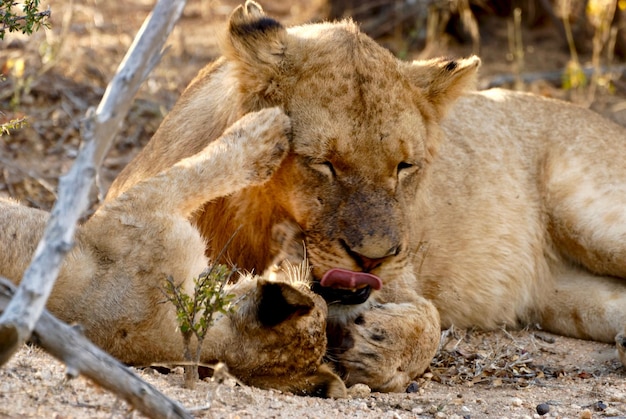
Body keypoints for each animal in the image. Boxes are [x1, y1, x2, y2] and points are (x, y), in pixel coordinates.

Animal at [0, 107, 346, 398]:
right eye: (317, 302)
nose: (318, 288)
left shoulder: (135, 209)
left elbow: (199, 172)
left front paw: (266, 128)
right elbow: (201, 172)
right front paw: (270, 124)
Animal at [105, 0, 624, 394]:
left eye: (405, 167)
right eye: (325, 163)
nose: (372, 258)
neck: (252, 227)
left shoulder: (400, 275)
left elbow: (430, 319)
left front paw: (378, 347)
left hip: (593, 224)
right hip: (563, 296)